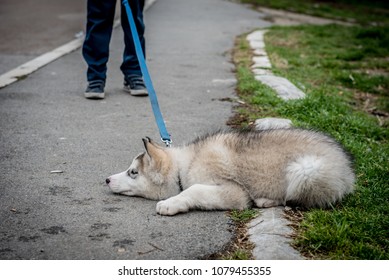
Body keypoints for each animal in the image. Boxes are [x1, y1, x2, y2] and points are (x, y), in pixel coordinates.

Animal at [104, 124, 354, 214]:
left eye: (133, 172)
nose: (106, 179)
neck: (185, 165)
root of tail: (348, 169)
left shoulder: (234, 191)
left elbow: (194, 190)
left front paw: (170, 203)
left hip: (305, 170)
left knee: (296, 199)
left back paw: (266, 200)